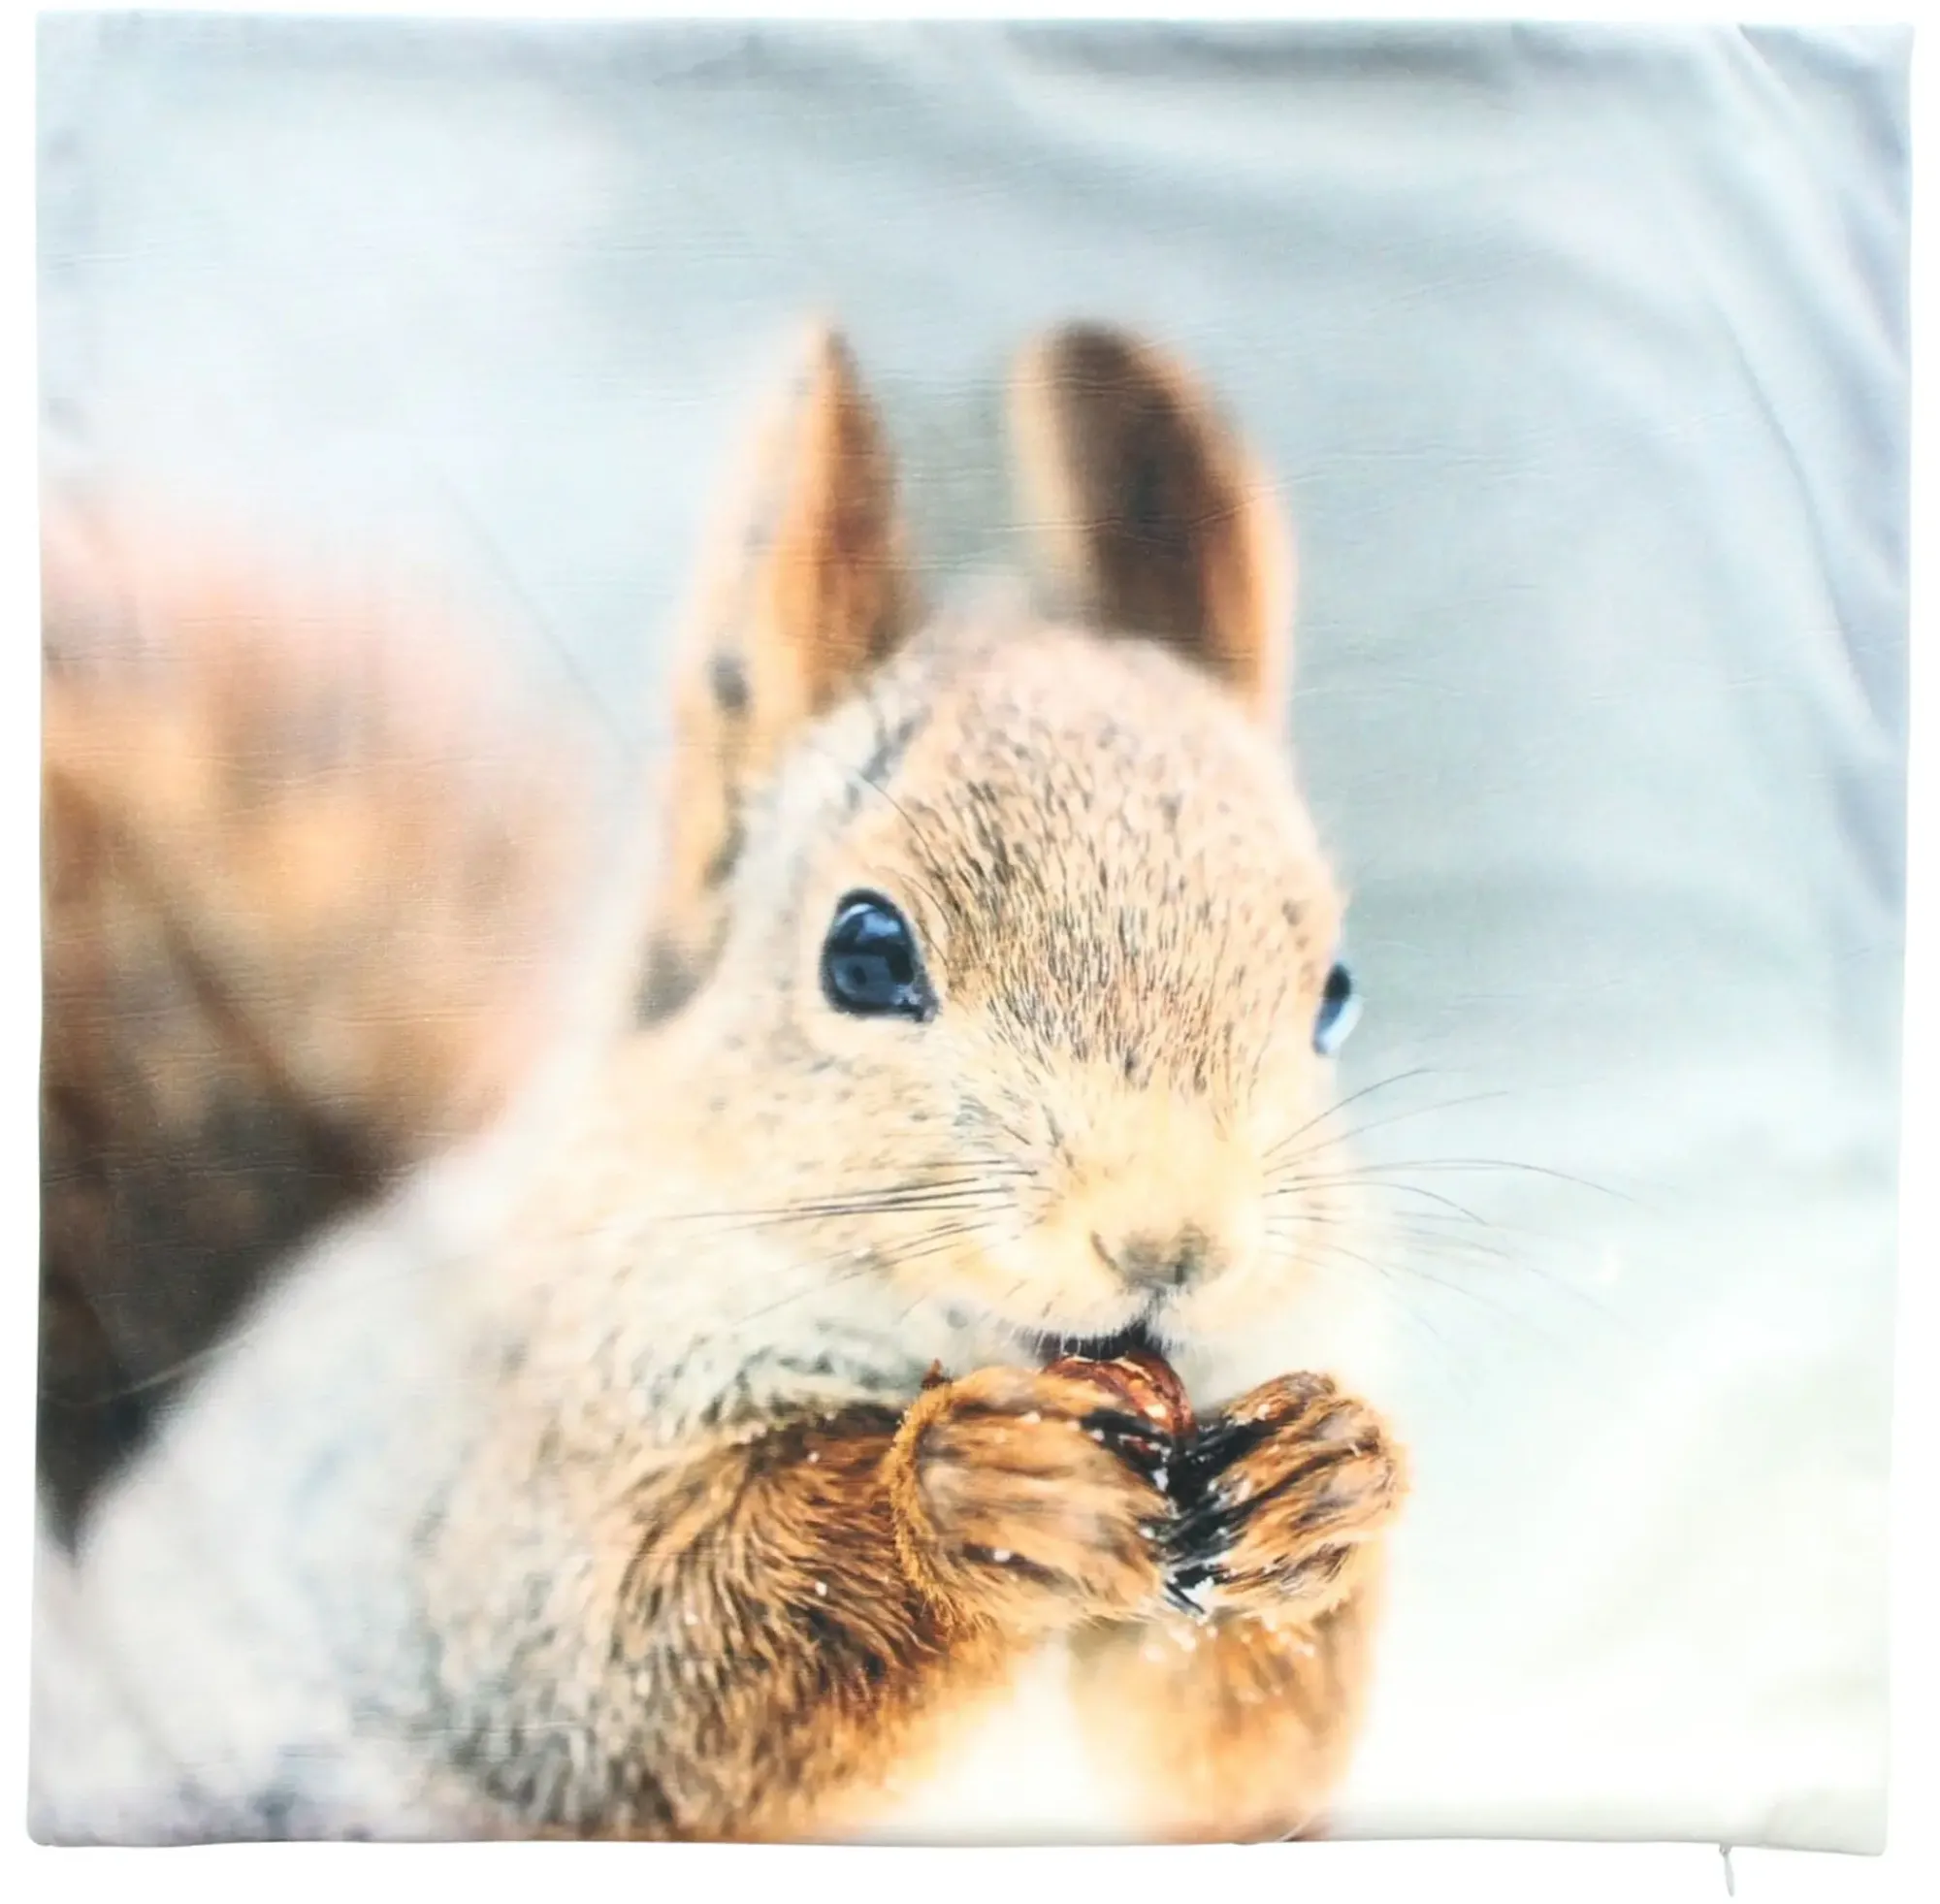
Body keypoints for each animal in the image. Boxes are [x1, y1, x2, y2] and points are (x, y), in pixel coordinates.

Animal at [33, 322, 1408, 1846]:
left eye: (1335, 991)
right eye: (863, 951)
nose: (1172, 1240)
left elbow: (1232, 1755)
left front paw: (1325, 1480)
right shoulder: (503, 1495)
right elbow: (652, 1656)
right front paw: (966, 1495)